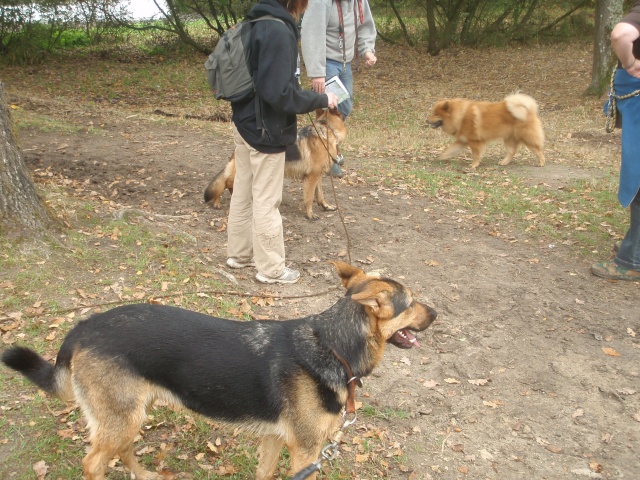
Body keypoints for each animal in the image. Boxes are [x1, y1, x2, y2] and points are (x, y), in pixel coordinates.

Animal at [1, 262, 436, 480]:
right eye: (412, 302)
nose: (436, 313)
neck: (333, 346)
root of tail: (81, 327)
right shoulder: (306, 452)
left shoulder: (276, 440)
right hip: (122, 416)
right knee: (93, 463)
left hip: (129, 415)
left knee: (120, 450)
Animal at [204, 106, 344, 219]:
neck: (328, 129)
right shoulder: (312, 177)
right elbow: (309, 198)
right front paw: (310, 215)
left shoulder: (317, 175)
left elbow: (320, 194)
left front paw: (326, 206)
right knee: (226, 182)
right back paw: (217, 201)